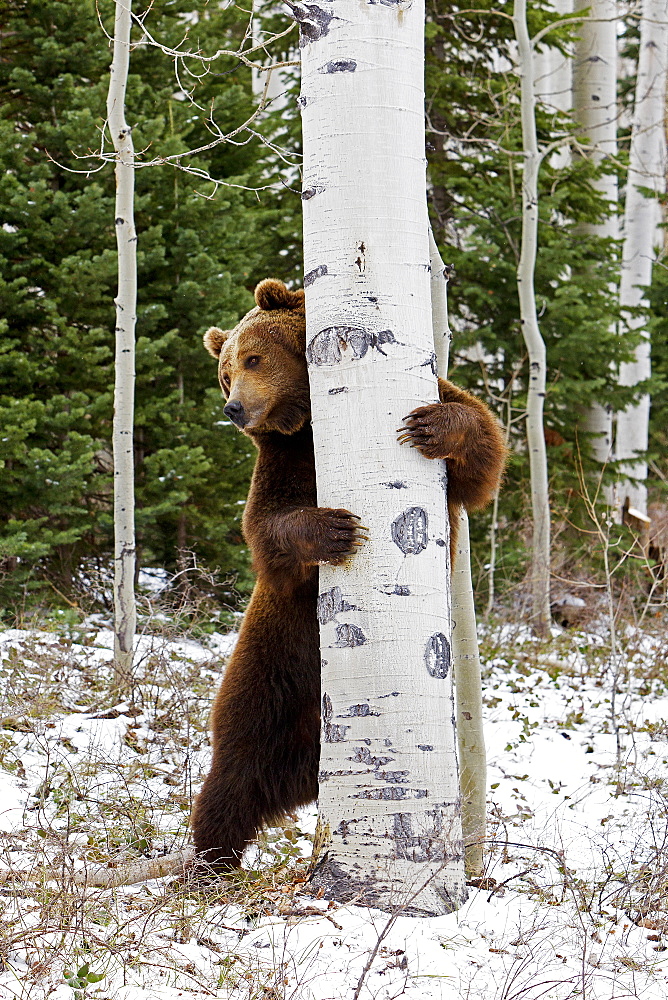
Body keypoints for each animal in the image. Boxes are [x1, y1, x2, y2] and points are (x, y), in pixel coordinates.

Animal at [190, 278, 504, 872]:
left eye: (252, 357)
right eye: (224, 370)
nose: (234, 407)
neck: (308, 422)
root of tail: (305, 771)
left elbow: (480, 454)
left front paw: (432, 426)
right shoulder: (284, 461)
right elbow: (266, 529)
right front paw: (333, 528)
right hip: (268, 672)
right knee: (233, 772)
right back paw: (207, 864)